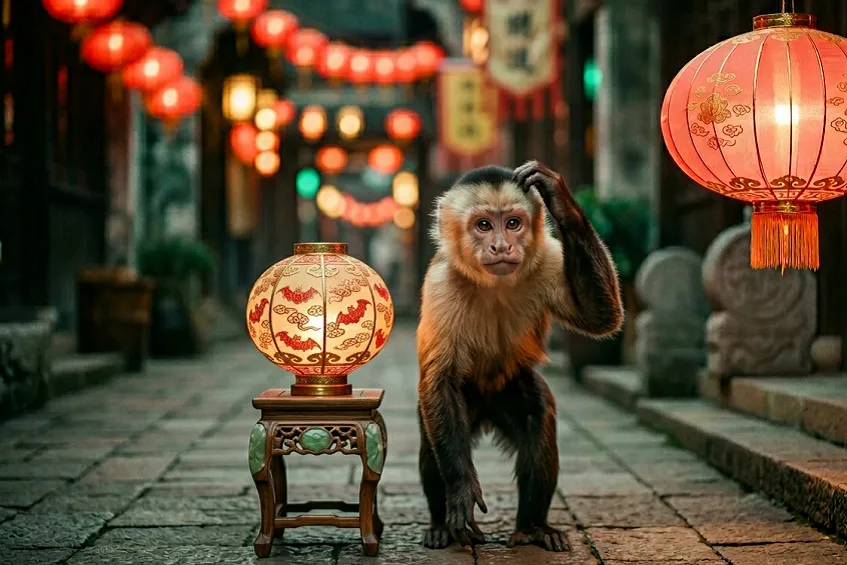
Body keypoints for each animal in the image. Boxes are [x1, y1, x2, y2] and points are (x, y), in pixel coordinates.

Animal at [416, 160, 624, 552]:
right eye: (484, 225)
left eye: (513, 223)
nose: (501, 245)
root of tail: (484, 410)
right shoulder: (440, 282)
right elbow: (441, 379)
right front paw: (461, 491)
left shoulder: (549, 257)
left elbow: (603, 318)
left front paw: (560, 200)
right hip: (463, 403)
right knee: (434, 432)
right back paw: (439, 523)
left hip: (510, 386)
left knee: (537, 417)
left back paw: (533, 526)